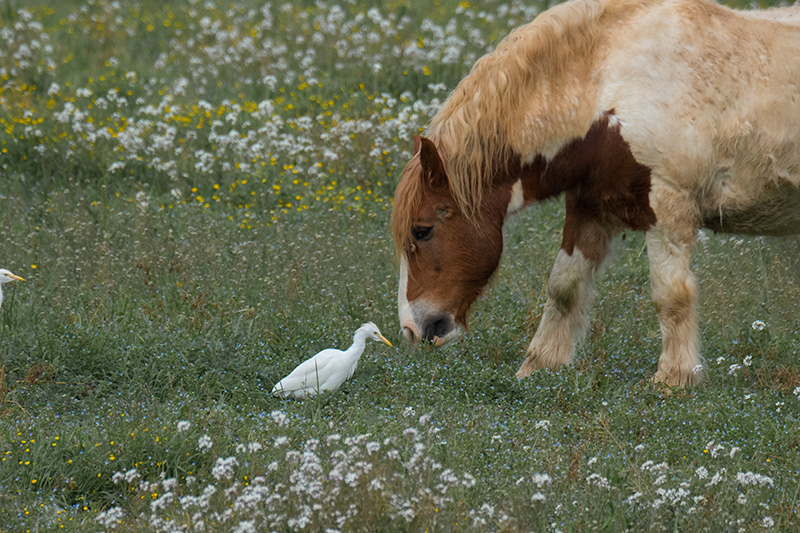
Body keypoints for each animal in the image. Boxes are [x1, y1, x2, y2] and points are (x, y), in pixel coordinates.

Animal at [392, 0, 800, 384]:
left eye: (422, 231)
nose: (411, 329)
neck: (612, 88)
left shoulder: (668, 211)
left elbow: (671, 295)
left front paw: (673, 379)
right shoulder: (590, 209)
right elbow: (564, 288)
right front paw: (539, 366)